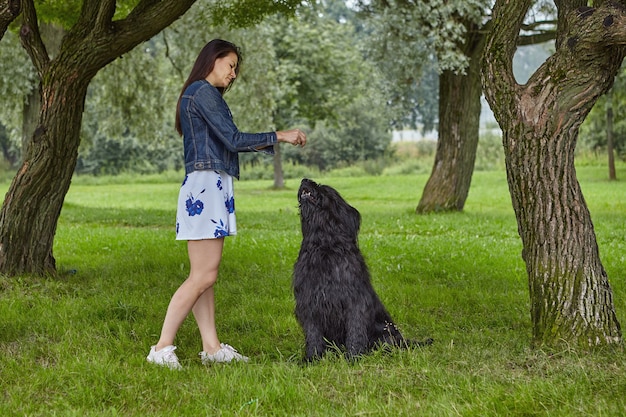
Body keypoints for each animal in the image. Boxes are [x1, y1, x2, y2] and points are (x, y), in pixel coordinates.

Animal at [292, 177, 428, 360]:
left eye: (323, 188)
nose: (304, 179)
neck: (324, 246)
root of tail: (402, 340)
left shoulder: (355, 301)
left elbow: (355, 330)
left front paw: (353, 357)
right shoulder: (309, 302)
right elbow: (313, 333)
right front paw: (312, 358)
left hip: (384, 333)